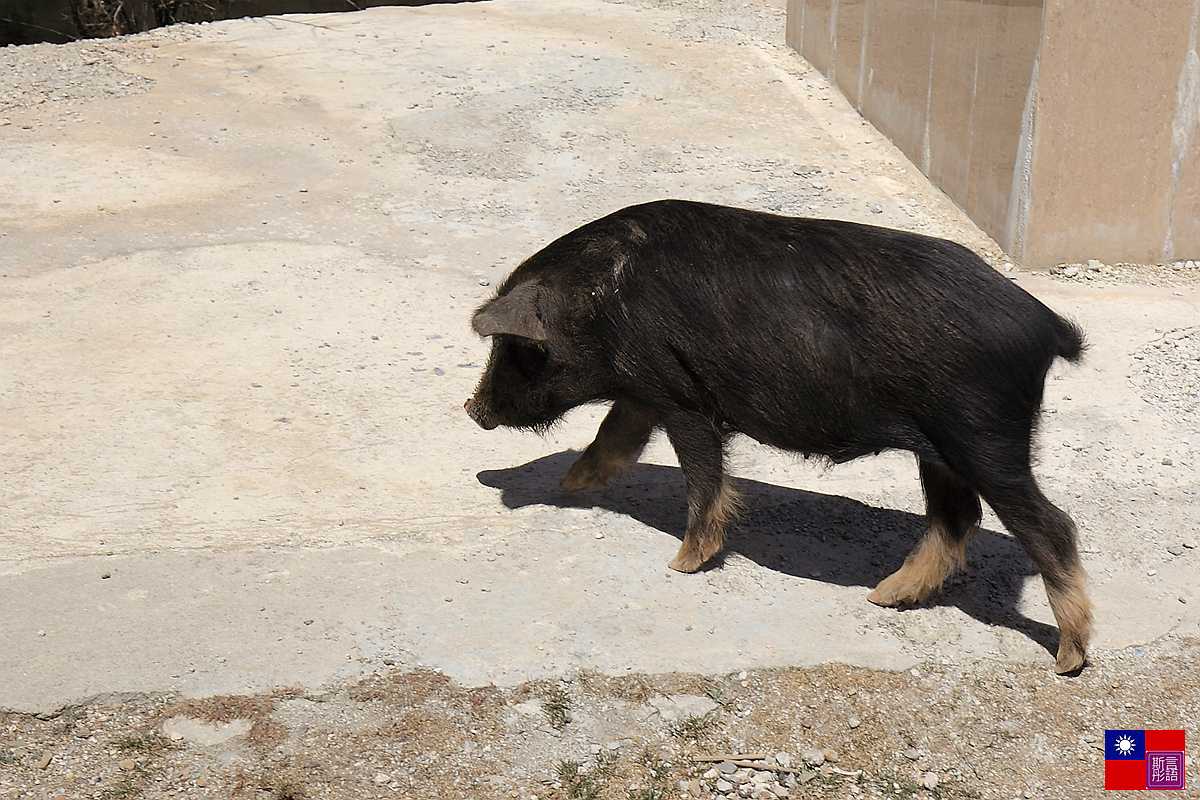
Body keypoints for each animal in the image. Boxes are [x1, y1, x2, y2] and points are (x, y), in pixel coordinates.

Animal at [463, 200, 1094, 676]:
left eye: (516, 347)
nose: (471, 408)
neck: (598, 306)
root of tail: (1046, 326)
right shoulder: (645, 389)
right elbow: (614, 433)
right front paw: (572, 484)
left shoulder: (682, 396)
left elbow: (701, 472)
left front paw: (682, 564)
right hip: (941, 449)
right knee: (955, 518)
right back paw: (882, 596)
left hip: (983, 435)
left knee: (1051, 524)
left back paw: (1066, 661)